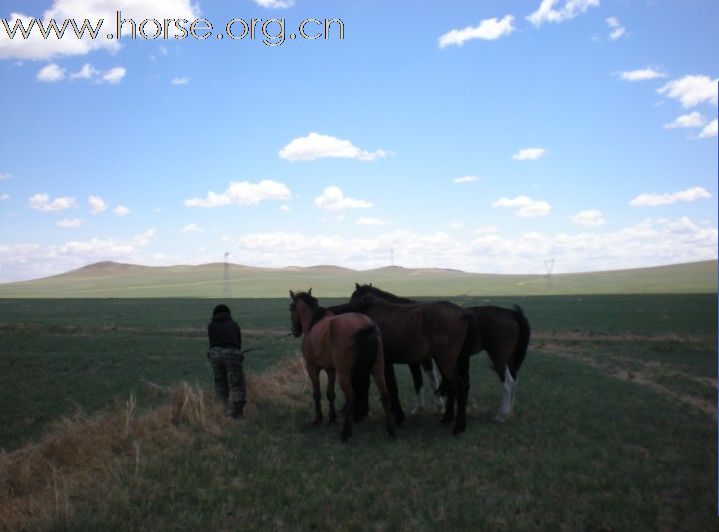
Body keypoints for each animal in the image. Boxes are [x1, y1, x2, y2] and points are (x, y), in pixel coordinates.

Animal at [290, 288, 396, 442]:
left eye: (291, 307)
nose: (295, 331)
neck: (313, 324)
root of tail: (368, 327)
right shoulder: (331, 370)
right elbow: (330, 394)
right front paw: (332, 419)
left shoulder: (312, 368)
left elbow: (317, 394)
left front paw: (319, 420)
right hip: (377, 370)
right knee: (385, 396)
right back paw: (391, 431)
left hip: (344, 375)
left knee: (351, 398)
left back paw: (345, 432)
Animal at [328, 286, 476, 432]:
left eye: (354, 296)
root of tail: (462, 313)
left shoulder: (385, 362)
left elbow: (390, 386)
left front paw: (398, 416)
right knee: (455, 388)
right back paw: (448, 419)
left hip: (446, 362)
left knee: (460, 388)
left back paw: (458, 426)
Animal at [352, 284, 532, 422]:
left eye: (355, 297)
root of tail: (512, 313)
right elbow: (432, 380)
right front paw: (437, 407)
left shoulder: (417, 361)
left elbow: (423, 381)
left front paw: (427, 408)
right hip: (509, 359)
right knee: (514, 381)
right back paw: (509, 411)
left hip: (498, 357)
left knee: (508, 382)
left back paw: (501, 415)